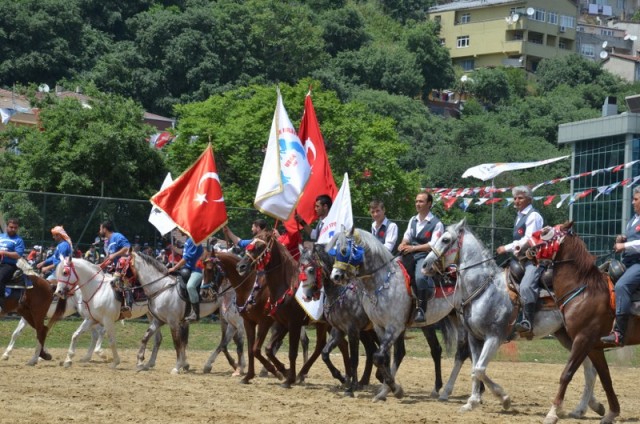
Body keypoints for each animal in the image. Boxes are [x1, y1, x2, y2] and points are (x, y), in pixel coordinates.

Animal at [238, 230, 342, 390]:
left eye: (260, 246)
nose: (241, 266)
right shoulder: (281, 323)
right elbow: (266, 349)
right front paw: (282, 371)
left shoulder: (291, 324)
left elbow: (291, 352)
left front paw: (287, 378)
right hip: (324, 325)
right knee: (327, 346)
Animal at [422, 220, 604, 420]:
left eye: (445, 239)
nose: (425, 265)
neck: (484, 288)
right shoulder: (474, 338)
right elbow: (475, 369)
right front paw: (472, 401)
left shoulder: (494, 337)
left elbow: (479, 369)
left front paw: (504, 398)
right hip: (566, 336)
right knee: (589, 368)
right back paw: (587, 407)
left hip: (578, 337)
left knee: (589, 369)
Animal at [532, 222, 640, 424]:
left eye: (545, 231)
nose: (524, 250)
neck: (584, 290)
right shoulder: (594, 347)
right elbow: (606, 378)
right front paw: (611, 412)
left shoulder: (583, 340)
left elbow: (566, 374)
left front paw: (553, 412)